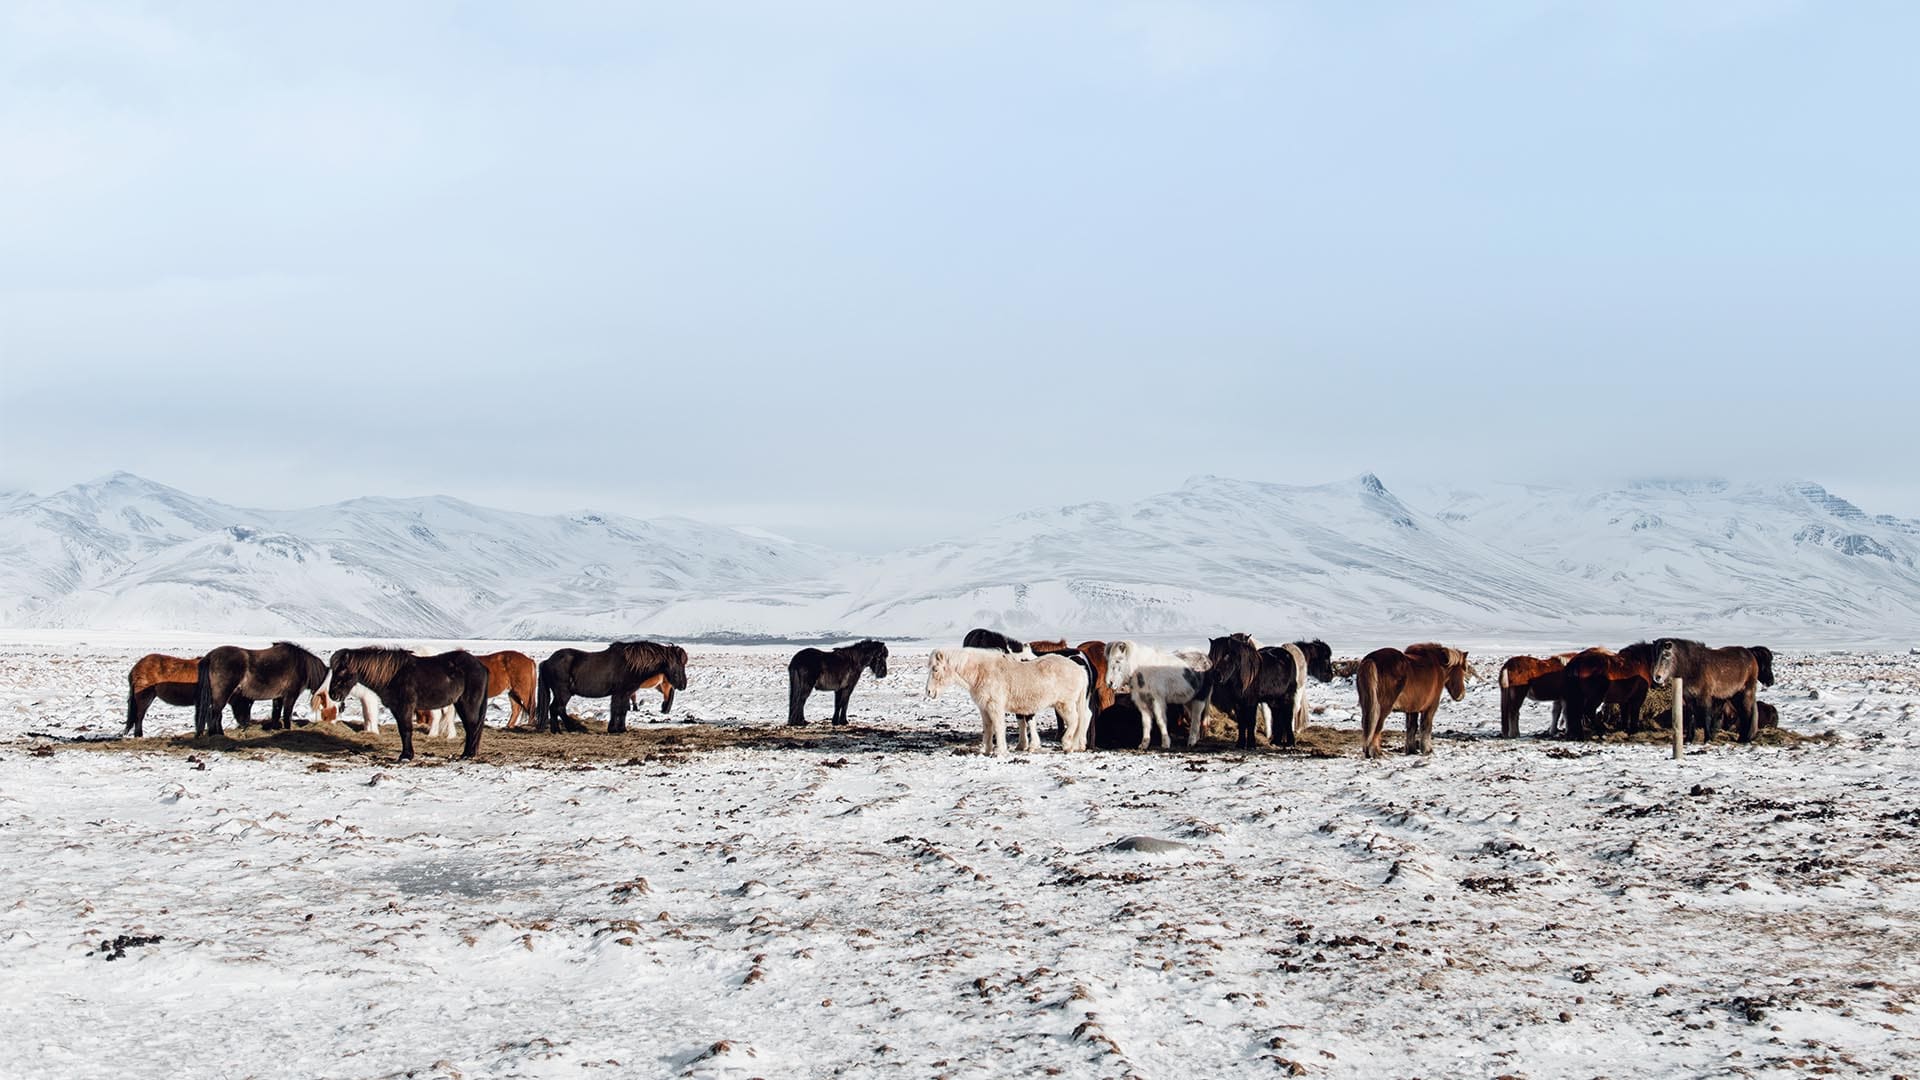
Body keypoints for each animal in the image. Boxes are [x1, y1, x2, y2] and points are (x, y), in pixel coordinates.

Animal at [192, 638, 328, 737]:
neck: (301, 665)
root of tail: (209, 656)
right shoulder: (290, 696)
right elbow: (287, 714)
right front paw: (287, 729)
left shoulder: (278, 697)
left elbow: (276, 713)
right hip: (222, 694)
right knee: (215, 714)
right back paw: (216, 735)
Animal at [322, 645, 491, 757]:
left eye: (342, 670)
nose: (333, 694)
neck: (393, 675)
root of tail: (481, 666)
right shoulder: (396, 708)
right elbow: (402, 730)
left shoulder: (405, 707)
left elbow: (405, 730)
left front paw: (406, 756)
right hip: (460, 703)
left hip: (468, 703)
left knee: (472, 726)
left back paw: (468, 755)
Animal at [537, 638, 687, 730]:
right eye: (678, 664)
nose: (683, 684)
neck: (631, 665)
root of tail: (547, 661)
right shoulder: (621, 692)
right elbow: (618, 709)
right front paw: (616, 729)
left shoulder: (625, 693)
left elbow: (621, 710)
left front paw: (618, 728)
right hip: (563, 692)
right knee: (558, 708)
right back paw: (575, 728)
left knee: (554, 709)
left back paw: (557, 730)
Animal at [929, 641, 1098, 753]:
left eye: (935, 669)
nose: (929, 692)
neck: (982, 671)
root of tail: (1080, 668)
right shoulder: (984, 708)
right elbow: (988, 728)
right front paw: (987, 750)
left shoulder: (995, 707)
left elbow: (999, 727)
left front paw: (1000, 752)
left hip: (1065, 704)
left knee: (1075, 720)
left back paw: (1067, 744)